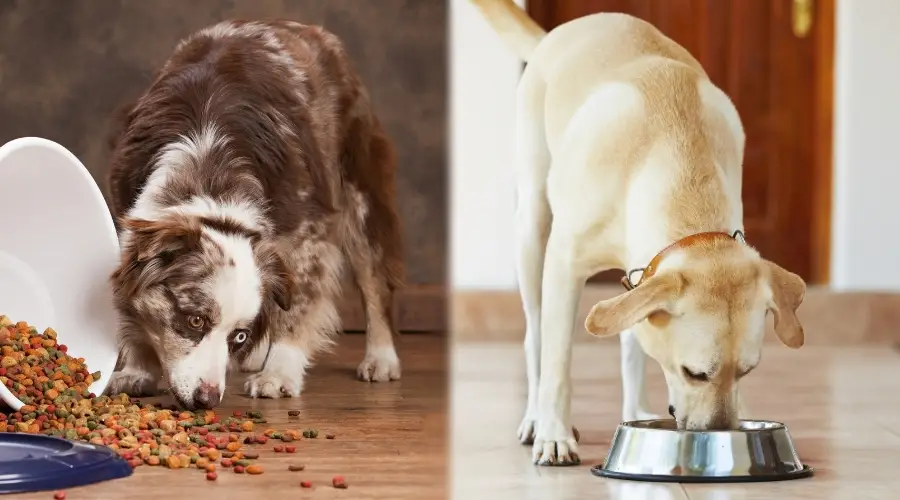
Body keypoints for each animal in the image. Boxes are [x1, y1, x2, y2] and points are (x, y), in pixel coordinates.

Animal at [103, 19, 402, 410]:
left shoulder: (307, 230)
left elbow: (298, 305)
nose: (207, 399)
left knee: (374, 279)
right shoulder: (127, 213)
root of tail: (312, 30)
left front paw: (279, 373)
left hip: (360, 191)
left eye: (239, 335)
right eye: (195, 321)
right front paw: (137, 369)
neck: (209, 179)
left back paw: (381, 357)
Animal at [472, 0, 808, 464]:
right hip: (532, 227)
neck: (674, 160)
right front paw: (555, 434)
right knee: (534, 338)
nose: (720, 435)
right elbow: (557, 361)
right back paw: (535, 419)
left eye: (747, 370)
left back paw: (634, 410)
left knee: (630, 342)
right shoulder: (563, 265)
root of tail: (558, 33)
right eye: (694, 373)